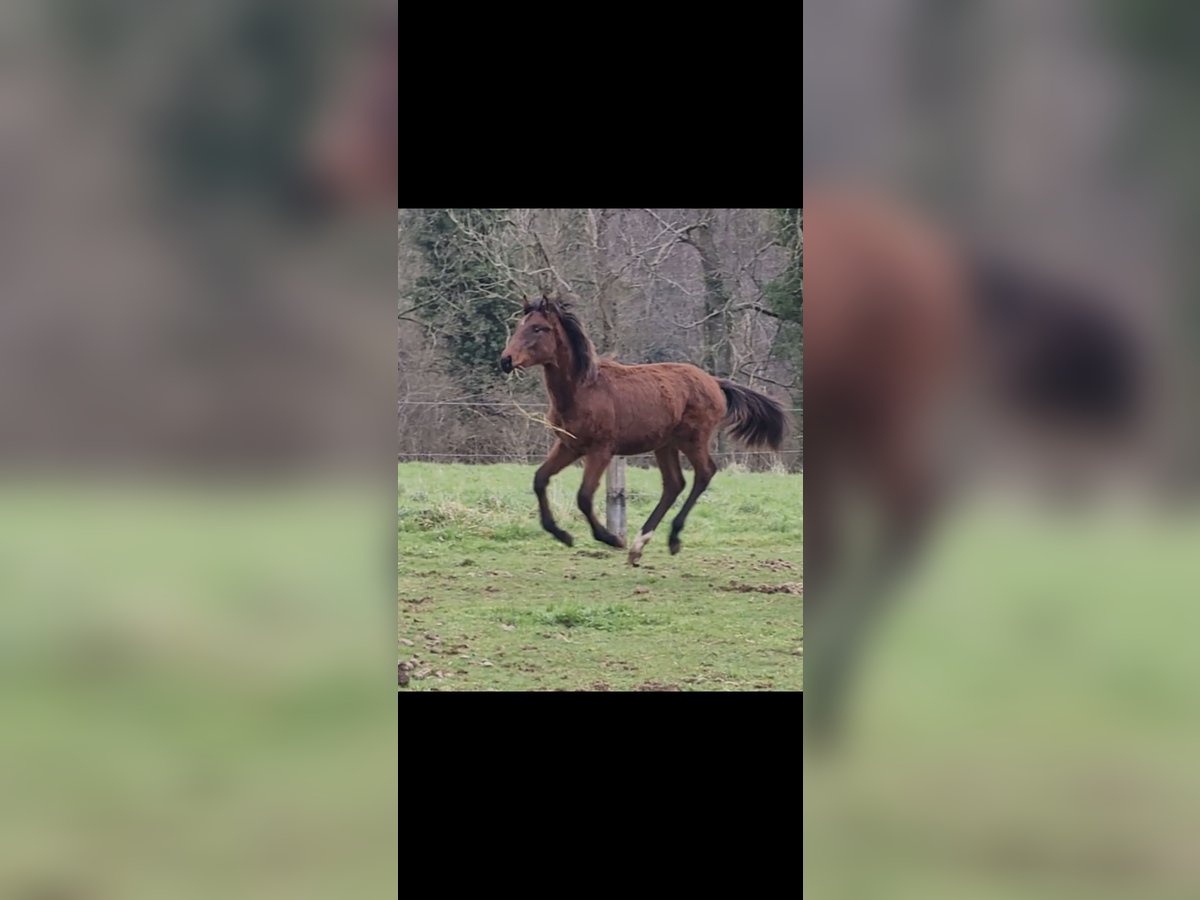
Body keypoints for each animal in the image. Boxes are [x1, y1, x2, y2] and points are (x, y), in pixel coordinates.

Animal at [496, 294, 787, 564]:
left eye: (539, 328)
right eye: (520, 324)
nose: (506, 360)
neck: (583, 389)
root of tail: (715, 382)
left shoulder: (601, 450)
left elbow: (584, 496)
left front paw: (611, 538)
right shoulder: (569, 446)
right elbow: (540, 479)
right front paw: (562, 535)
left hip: (692, 439)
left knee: (704, 473)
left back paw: (671, 539)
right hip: (665, 445)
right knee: (674, 484)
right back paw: (639, 545)